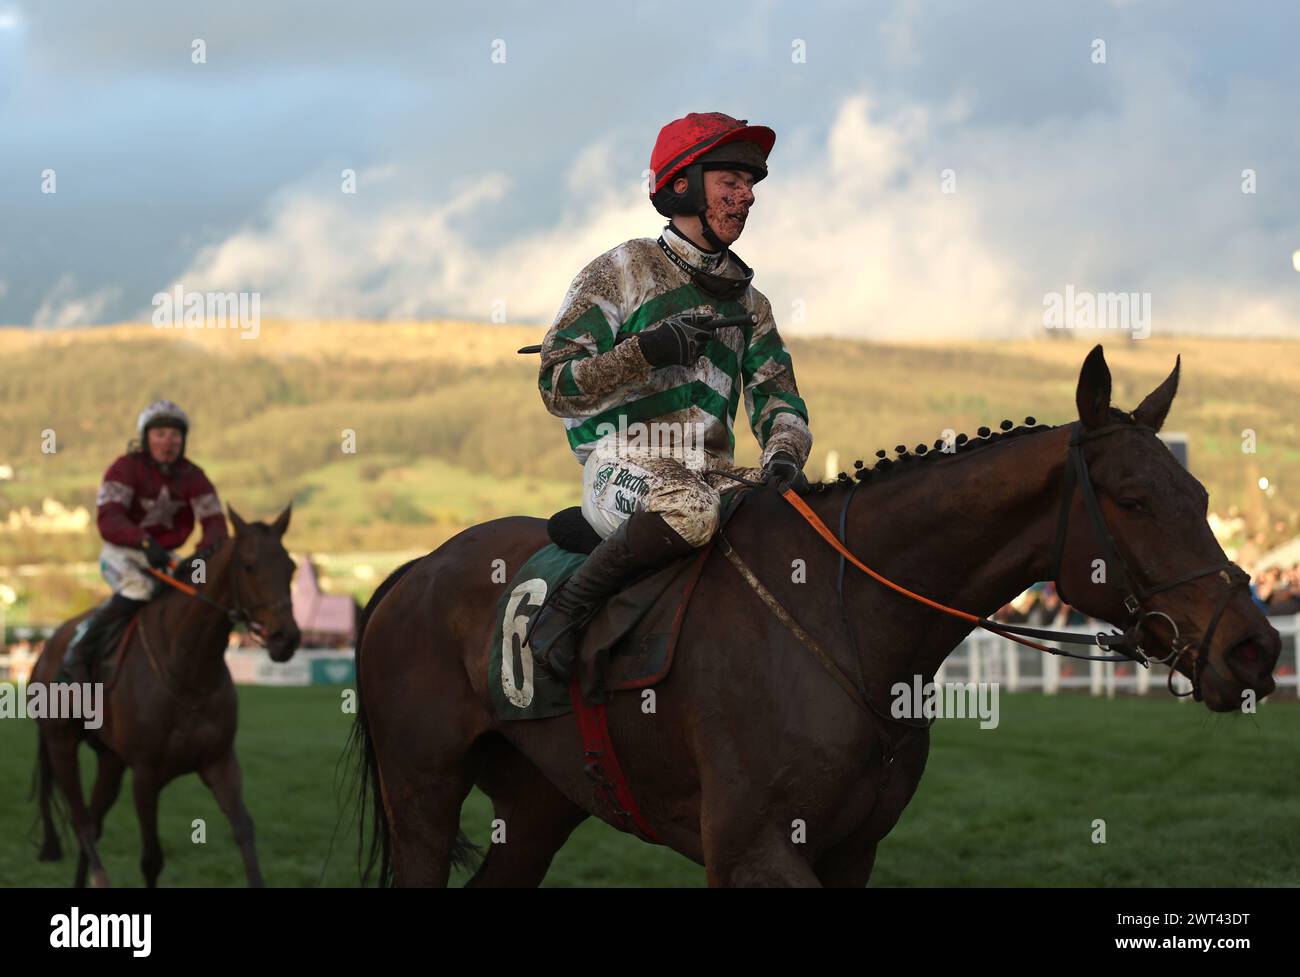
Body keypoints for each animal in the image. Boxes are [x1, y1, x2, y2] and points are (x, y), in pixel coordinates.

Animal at [30, 506, 299, 888]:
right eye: (248, 565)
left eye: (290, 566)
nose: (285, 638)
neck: (188, 670)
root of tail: (47, 648)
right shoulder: (146, 775)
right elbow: (152, 859)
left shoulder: (220, 761)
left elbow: (244, 831)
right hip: (61, 743)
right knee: (81, 820)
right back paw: (100, 877)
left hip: (110, 759)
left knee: (93, 822)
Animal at [345, 348, 1279, 888]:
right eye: (1134, 500)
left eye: (1200, 496)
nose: (1257, 646)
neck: (849, 623)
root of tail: (413, 571)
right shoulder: (753, 850)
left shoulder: (851, 851)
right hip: (423, 795)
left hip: (538, 803)